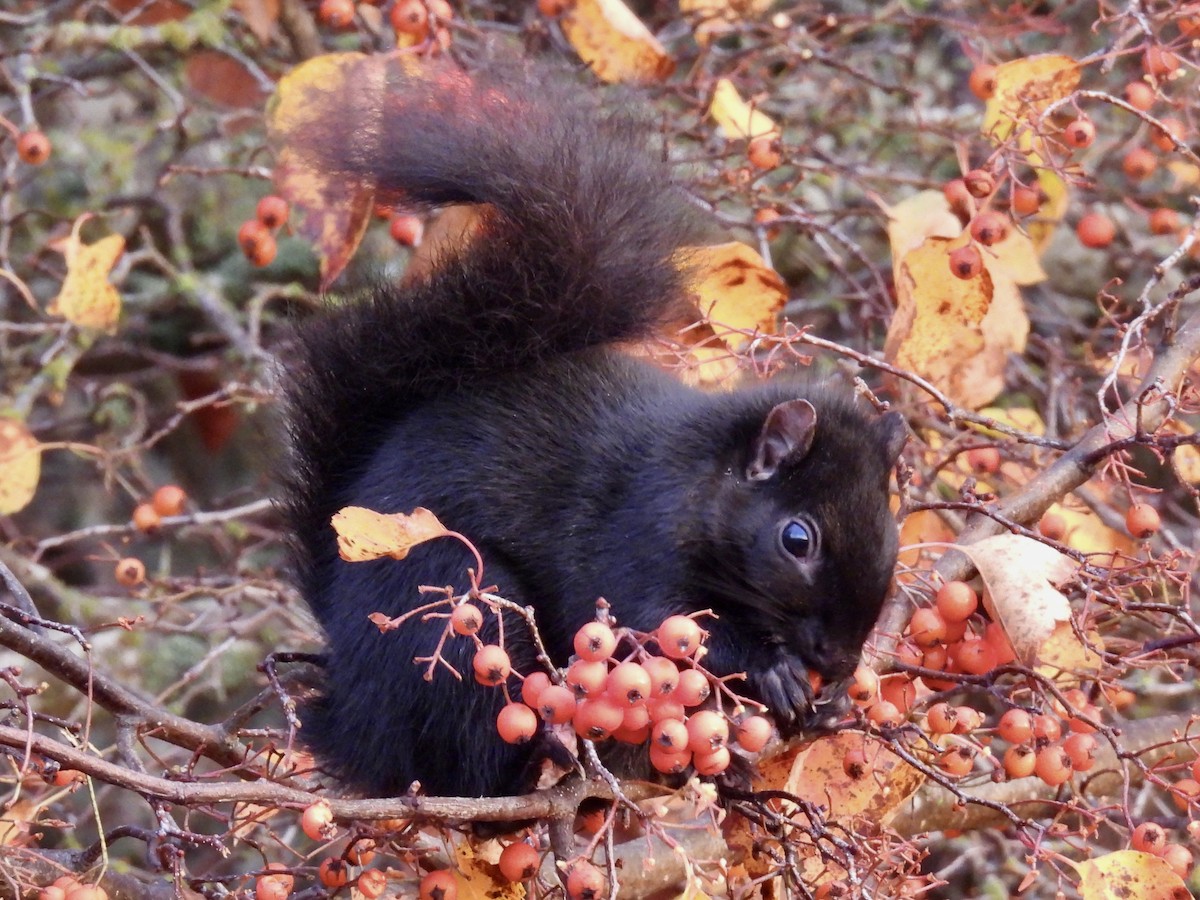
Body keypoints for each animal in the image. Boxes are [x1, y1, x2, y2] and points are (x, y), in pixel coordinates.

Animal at [281, 59, 907, 799]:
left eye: (891, 527)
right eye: (797, 539)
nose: (838, 660)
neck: (697, 478)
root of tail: (351, 719)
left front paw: (827, 701)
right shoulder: (632, 540)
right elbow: (651, 619)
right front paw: (767, 665)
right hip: (455, 606)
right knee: (469, 763)